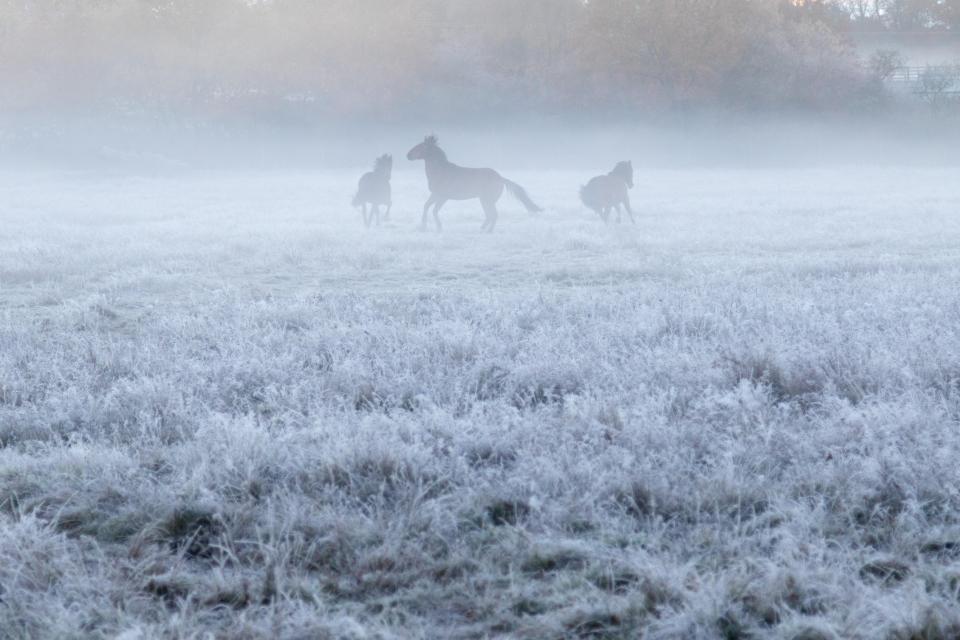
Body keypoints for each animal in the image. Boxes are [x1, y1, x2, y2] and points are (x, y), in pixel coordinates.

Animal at [404, 135, 540, 232]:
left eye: (421, 147)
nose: (407, 155)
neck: (441, 171)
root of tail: (500, 178)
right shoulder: (436, 195)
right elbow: (426, 206)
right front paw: (423, 226)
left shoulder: (443, 197)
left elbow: (434, 210)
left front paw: (439, 227)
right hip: (485, 200)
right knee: (490, 215)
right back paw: (482, 228)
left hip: (487, 200)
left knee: (494, 215)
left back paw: (488, 231)